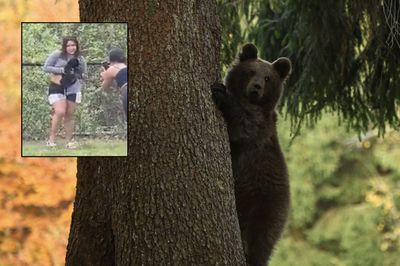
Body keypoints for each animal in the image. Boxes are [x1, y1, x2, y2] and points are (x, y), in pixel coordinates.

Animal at [212, 42, 290, 264]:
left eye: (268, 78)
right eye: (251, 71)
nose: (256, 87)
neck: (250, 102)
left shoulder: (260, 127)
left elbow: (242, 128)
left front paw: (221, 93)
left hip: (266, 204)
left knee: (259, 239)